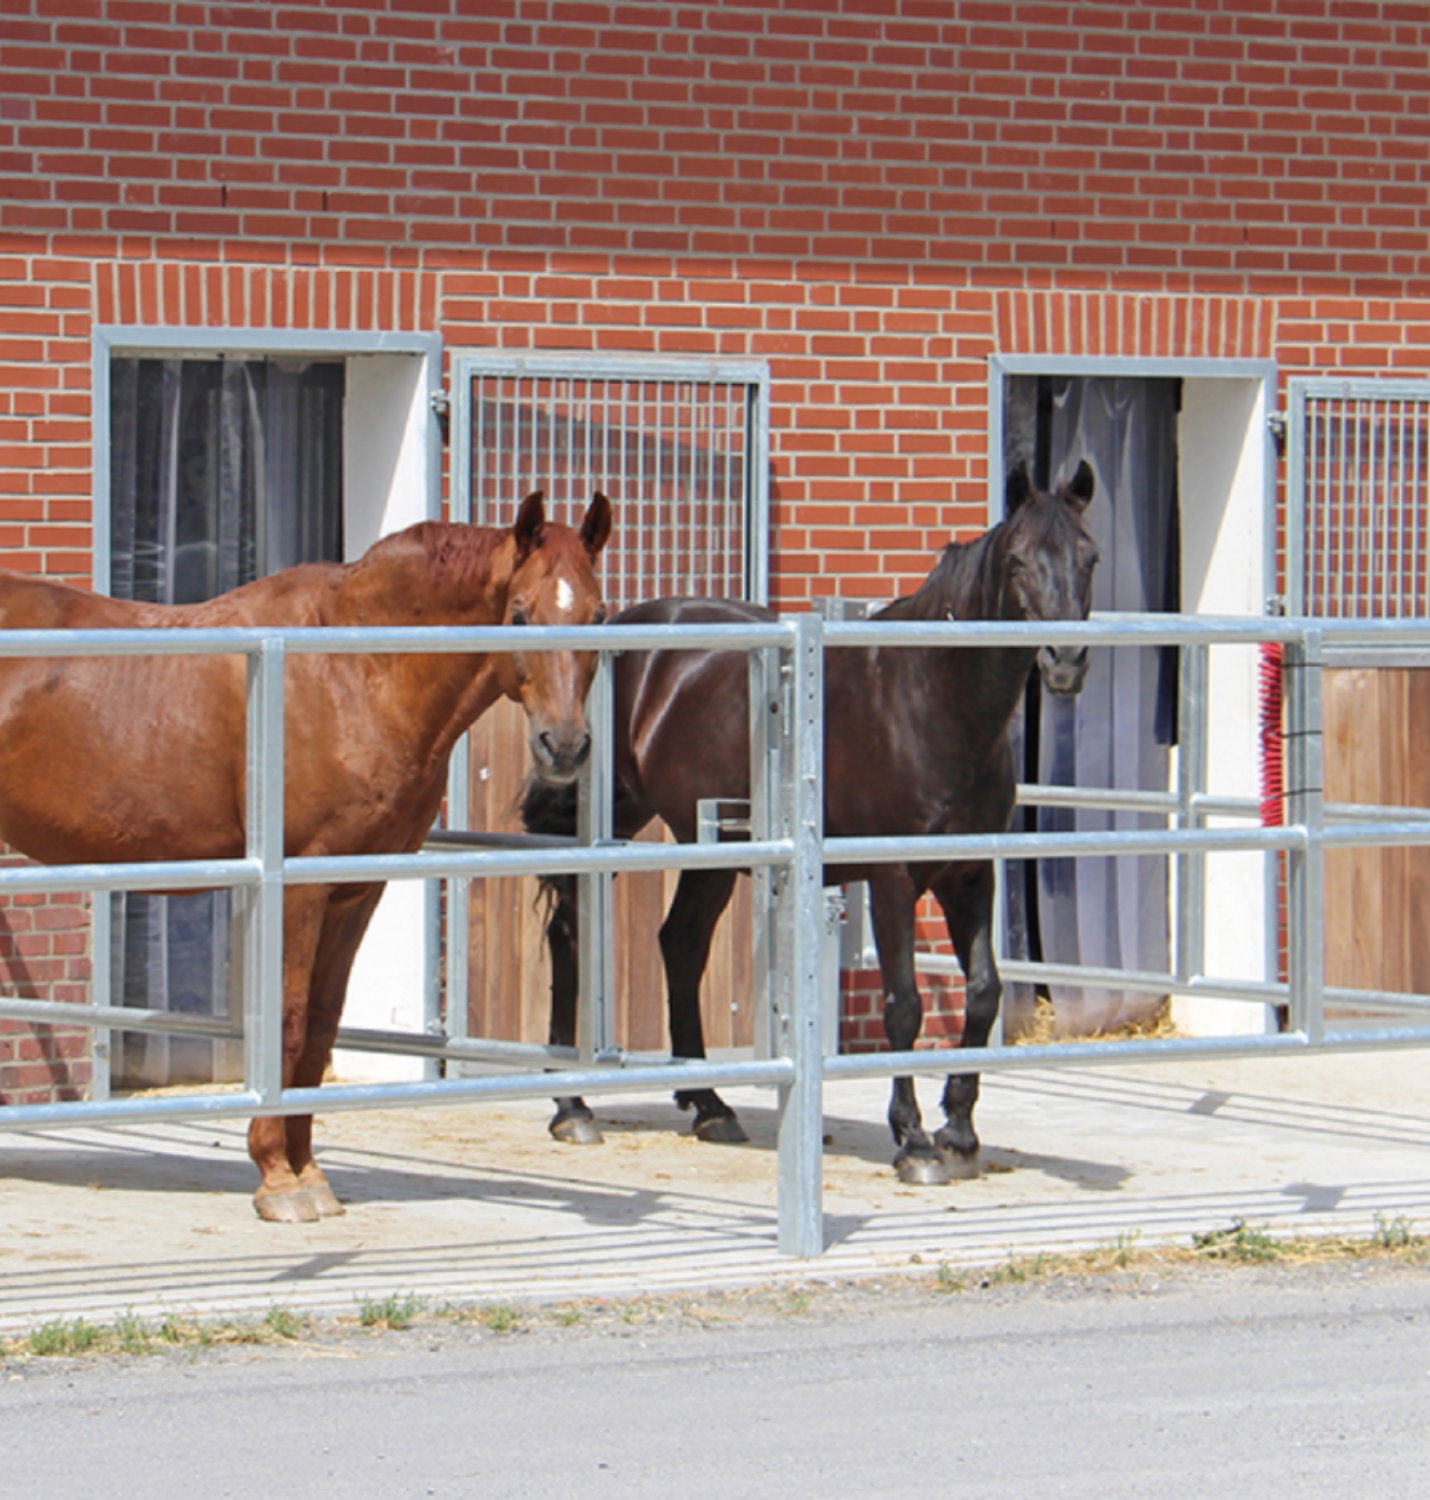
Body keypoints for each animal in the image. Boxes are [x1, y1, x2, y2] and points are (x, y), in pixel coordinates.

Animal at [0, 489, 612, 1222]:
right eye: (518, 613)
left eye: (599, 614)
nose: (565, 747)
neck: (351, 666)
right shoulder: (296, 886)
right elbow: (288, 1021)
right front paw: (277, 1180)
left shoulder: (355, 889)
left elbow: (321, 1026)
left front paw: (309, 1170)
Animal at [522, 463, 1097, 1186]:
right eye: (1018, 561)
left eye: (1089, 557)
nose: (1065, 661)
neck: (930, 696)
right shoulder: (893, 878)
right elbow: (904, 1006)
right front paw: (914, 1141)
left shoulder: (969, 874)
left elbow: (986, 992)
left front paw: (960, 1131)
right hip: (615, 817)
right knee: (571, 932)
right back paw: (572, 1105)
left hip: (713, 843)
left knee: (680, 943)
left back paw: (708, 1104)